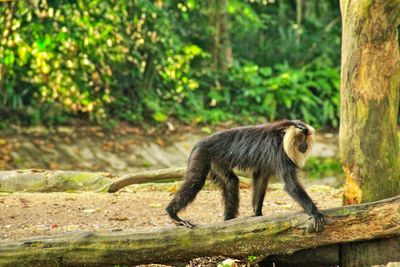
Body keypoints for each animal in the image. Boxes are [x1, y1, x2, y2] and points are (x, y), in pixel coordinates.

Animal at [166, 120, 324, 233]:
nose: (305, 145)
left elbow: (260, 179)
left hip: (216, 160)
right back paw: (173, 214)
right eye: (300, 138)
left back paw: (228, 221)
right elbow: (291, 185)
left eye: (306, 138)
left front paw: (257, 214)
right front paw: (315, 212)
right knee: (196, 181)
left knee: (230, 181)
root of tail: (198, 143)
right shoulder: (279, 151)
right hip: (202, 154)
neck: (280, 136)